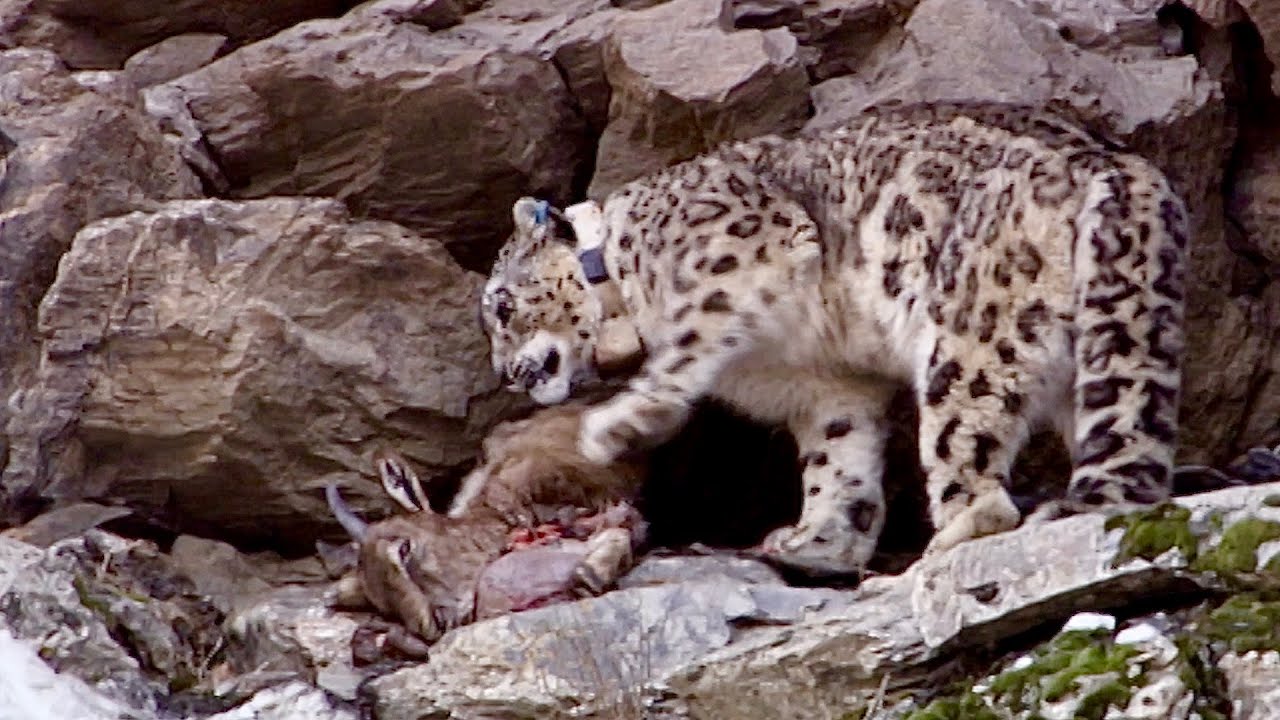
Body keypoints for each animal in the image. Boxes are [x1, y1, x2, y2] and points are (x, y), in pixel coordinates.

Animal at [481, 99, 1187, 571]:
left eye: (500, 306)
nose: (505, 374)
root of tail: (1111, 163)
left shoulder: (732, 256)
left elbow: (685, 347)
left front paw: (616, 427)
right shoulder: (829, 384)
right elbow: (837, 458)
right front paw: (818, 539)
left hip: (972, 333)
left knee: (973, 456)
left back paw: (937, 548)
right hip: (1091, 348)